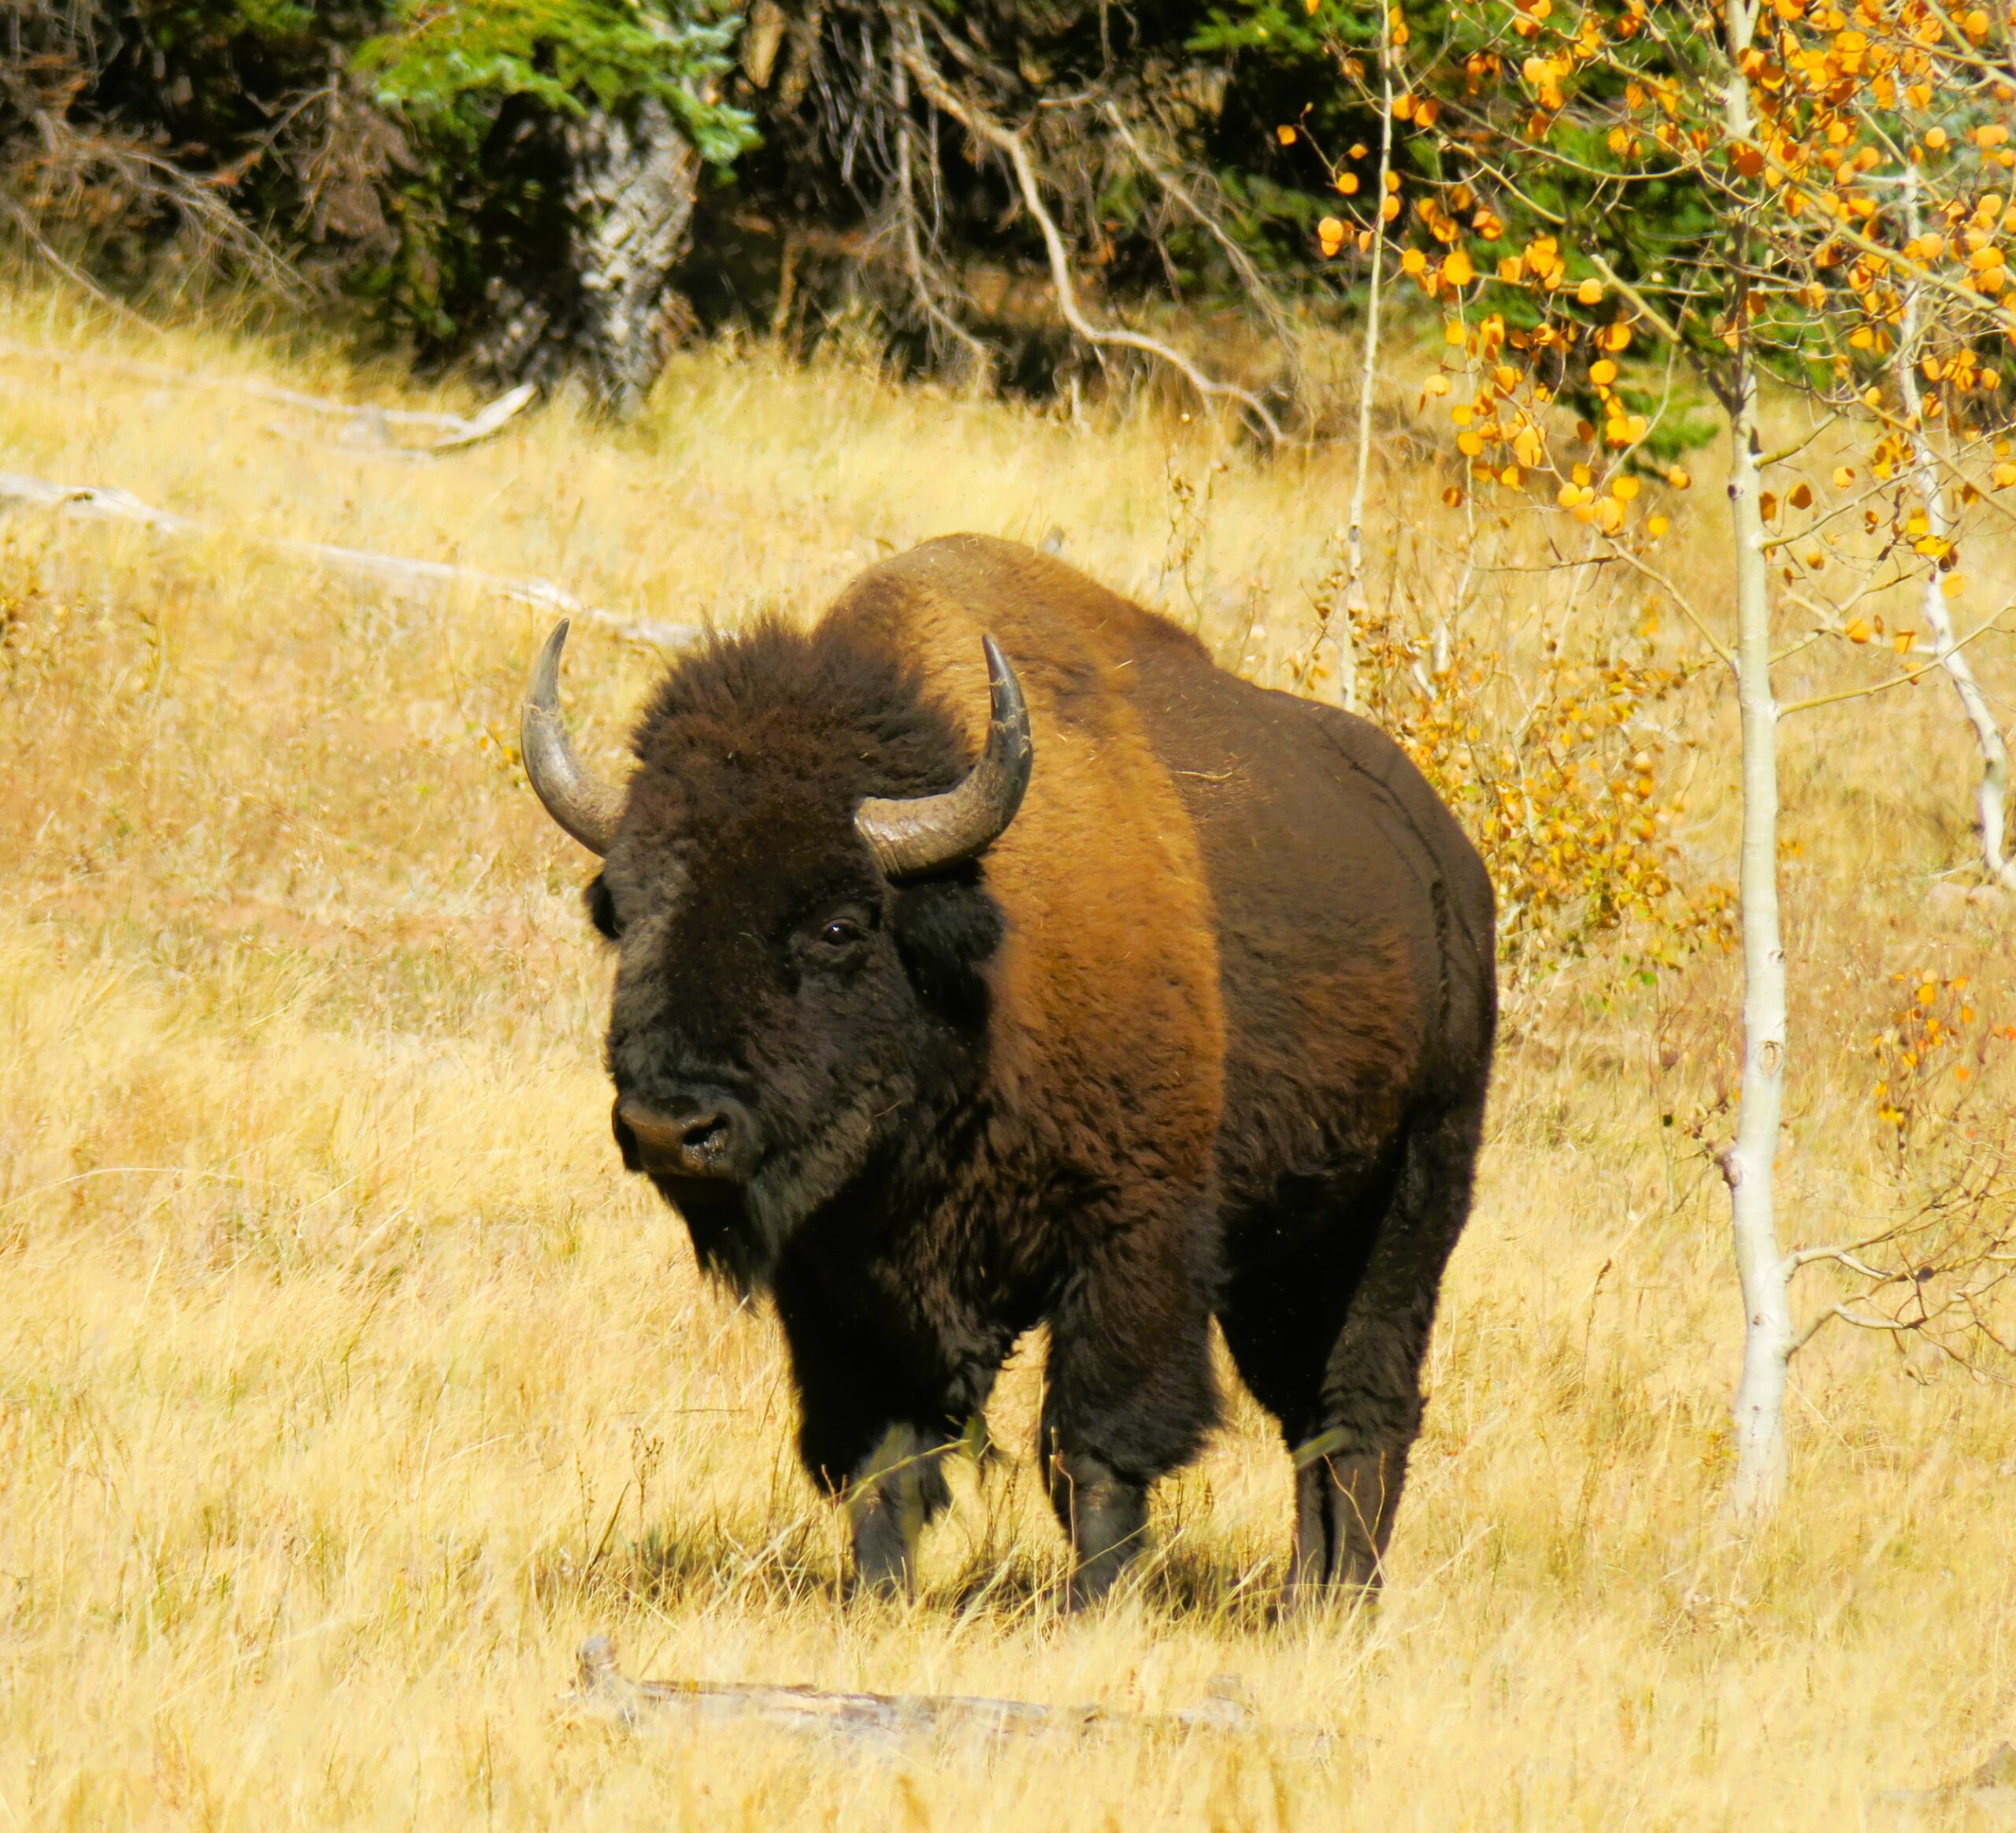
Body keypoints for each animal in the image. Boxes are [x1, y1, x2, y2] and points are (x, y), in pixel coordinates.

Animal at [520, 532, 1499, 1605]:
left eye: (838, 924)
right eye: (620, 910)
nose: (670, 1126)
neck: (976, 970)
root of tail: (1444, 856)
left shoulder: (1131, 1241)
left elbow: (1094, 1453)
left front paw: (1094, 1608)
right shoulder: (838, 1285)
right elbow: (880, 1459)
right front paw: (880, 1599)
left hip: (1410, 1198)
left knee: (1360, 1409)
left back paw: (1337, 1605)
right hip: (1282, 1252)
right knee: (1307, 1419)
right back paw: (1304, 1602)